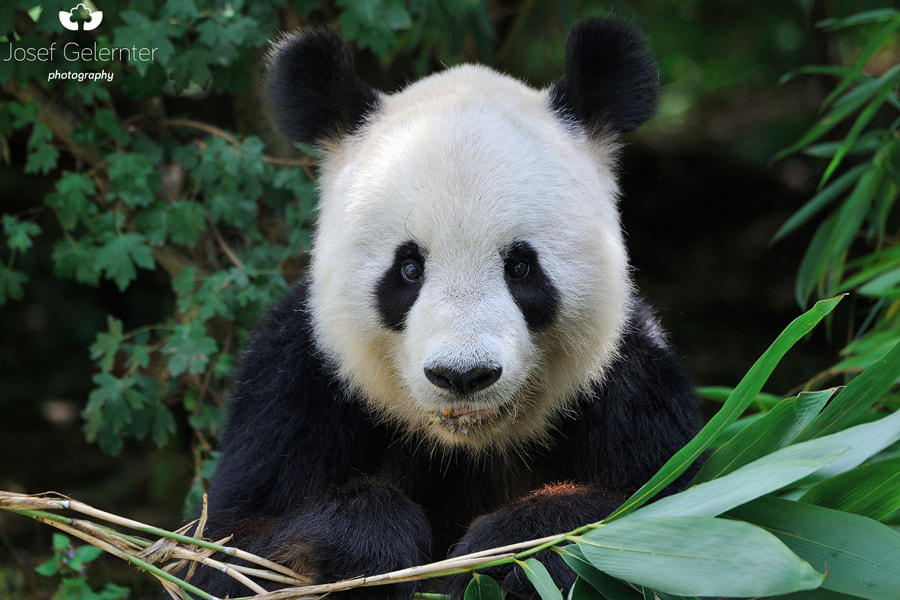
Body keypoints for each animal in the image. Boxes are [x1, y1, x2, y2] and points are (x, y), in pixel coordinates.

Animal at [193, 16, 702, 600]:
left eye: (520, 267)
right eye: (409, 269)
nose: (463, 375)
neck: (464, 444)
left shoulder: (632, 379)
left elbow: (666, 515)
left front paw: (500, 553)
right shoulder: (295, 383)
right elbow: (225, 549)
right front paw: (373, 544)